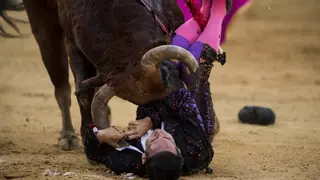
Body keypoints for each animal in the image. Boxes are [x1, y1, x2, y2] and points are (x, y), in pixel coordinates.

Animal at [22, 0, 199, 150]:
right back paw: (68, 136)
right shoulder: (73, 46)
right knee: (61, 85)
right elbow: (83, 94)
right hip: (42, 22)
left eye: (166, 75)